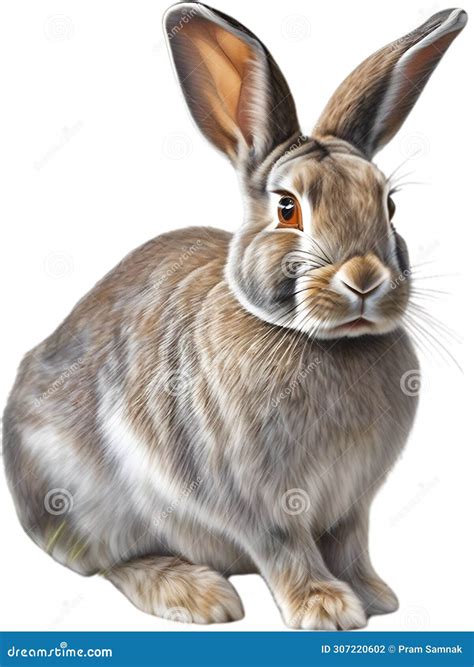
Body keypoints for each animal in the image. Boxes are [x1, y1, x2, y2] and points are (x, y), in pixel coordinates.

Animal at [3, 2, 467, 630]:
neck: (316, 339)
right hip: (85, 498)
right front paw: (325, 609)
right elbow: (286, 547)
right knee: (107, 561)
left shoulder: (352, 502)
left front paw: (375, 596)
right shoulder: (255, 496)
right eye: (288, 208)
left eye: (389, 204)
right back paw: (195, 594)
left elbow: (351, 544)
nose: (365, 280)